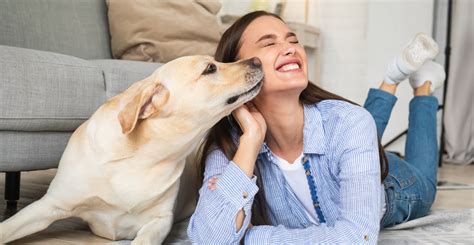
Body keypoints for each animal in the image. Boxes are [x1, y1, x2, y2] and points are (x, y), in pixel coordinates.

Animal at [0, 56, 262, 245]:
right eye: (210, 68)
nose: (257, 60)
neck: (141, 159)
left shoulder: (160, 221)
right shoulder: (51, 204)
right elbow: (7, 227)